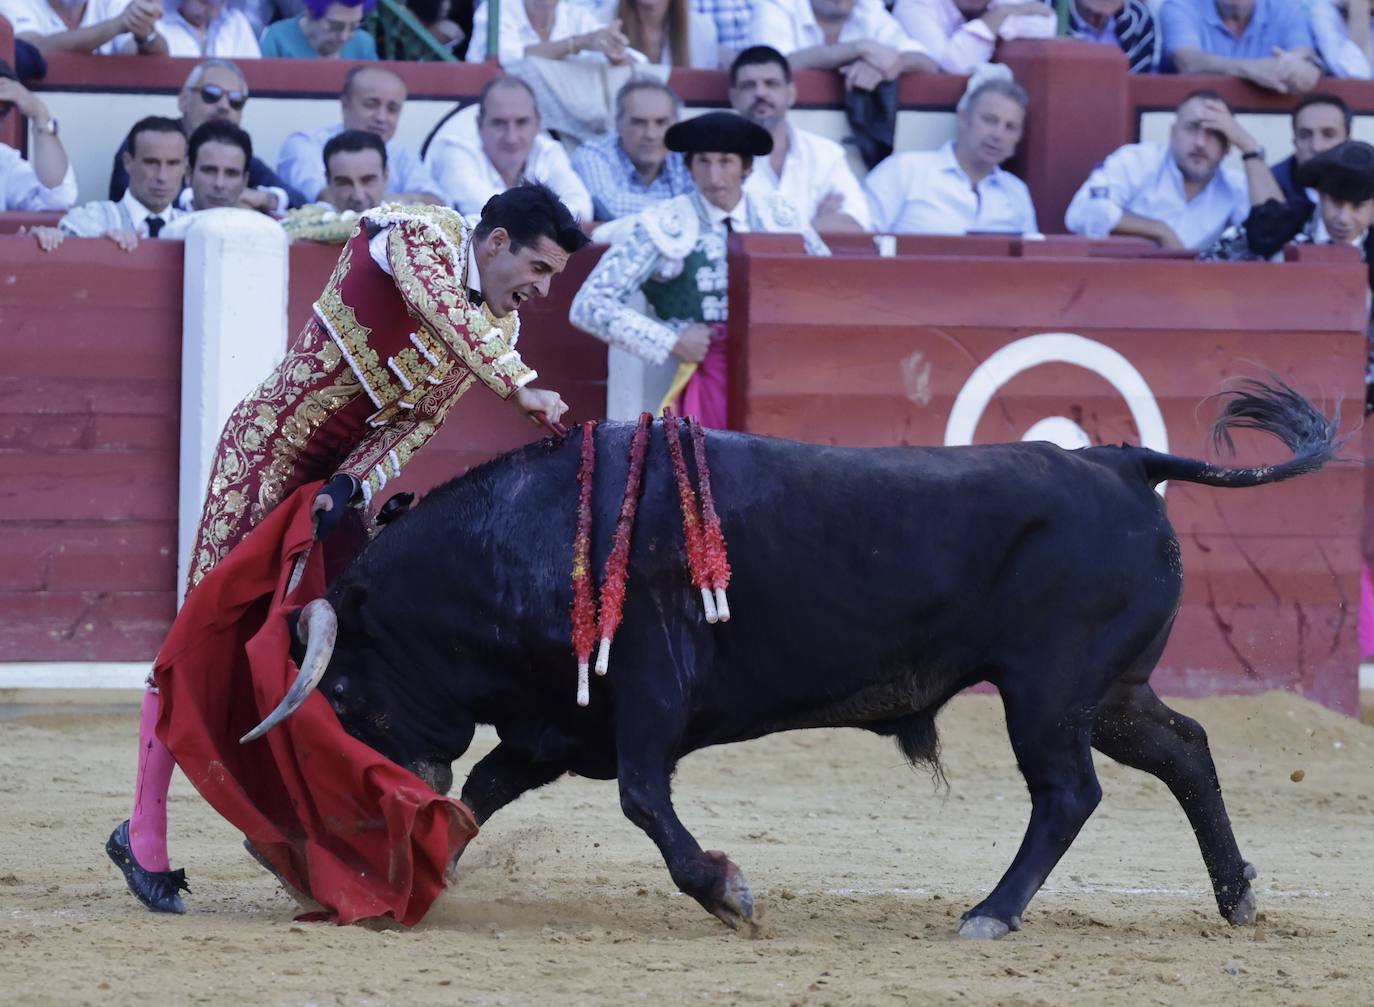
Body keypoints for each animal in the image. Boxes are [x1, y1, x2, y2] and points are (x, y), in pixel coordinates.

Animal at [250, 376, 1341, 934]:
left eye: (347, 688)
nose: (378, 787)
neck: (532, 535)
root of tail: (1120, 461)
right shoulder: (557, 723)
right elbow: (484, 790)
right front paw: (422, 862)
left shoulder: (646, 696)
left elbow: (641, 798)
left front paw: (727, 891)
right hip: (1109, 692)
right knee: (1185, 748)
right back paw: (1238, 896)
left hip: (1049, 694)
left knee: (1069, 792)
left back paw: (990, 911)